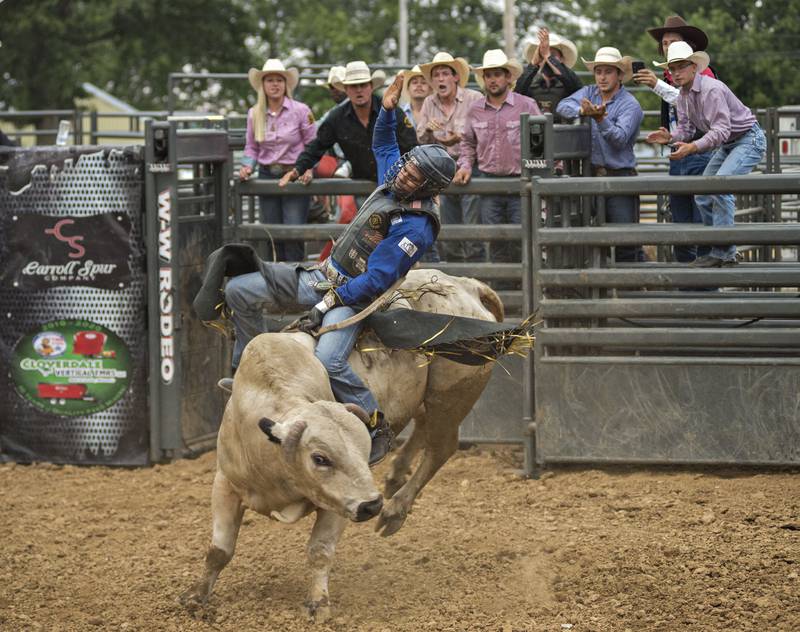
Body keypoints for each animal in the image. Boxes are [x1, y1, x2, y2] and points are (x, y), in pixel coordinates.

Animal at [184, 270, 504, 620]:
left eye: (362, 452)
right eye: (320, 458)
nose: (372, 505)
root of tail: (467, 285)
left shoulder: (340, 501)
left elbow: (320, 551)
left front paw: (318, 603)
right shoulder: (225, 484)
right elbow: (219, 550)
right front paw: (196, 598)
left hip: (451, 395)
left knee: (441, 446)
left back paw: (395, 510)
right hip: (429, 400)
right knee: (422, 428)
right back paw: (395, 476)